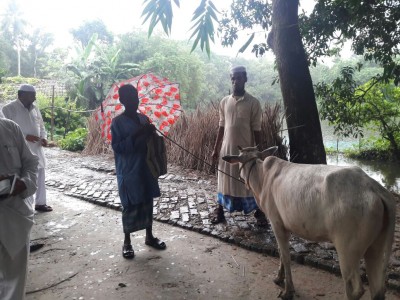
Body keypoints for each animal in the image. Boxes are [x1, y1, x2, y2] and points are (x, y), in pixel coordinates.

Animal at [223, 146, 396, 298]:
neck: (262, 177)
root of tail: (374, 188)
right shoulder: (284, 226)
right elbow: (281, 252)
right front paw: (279, 278)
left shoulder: (276, 222)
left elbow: (285, 256)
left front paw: (288, 291)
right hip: (375, 247)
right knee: (378, 289)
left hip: (348, 249)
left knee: (355, 289)